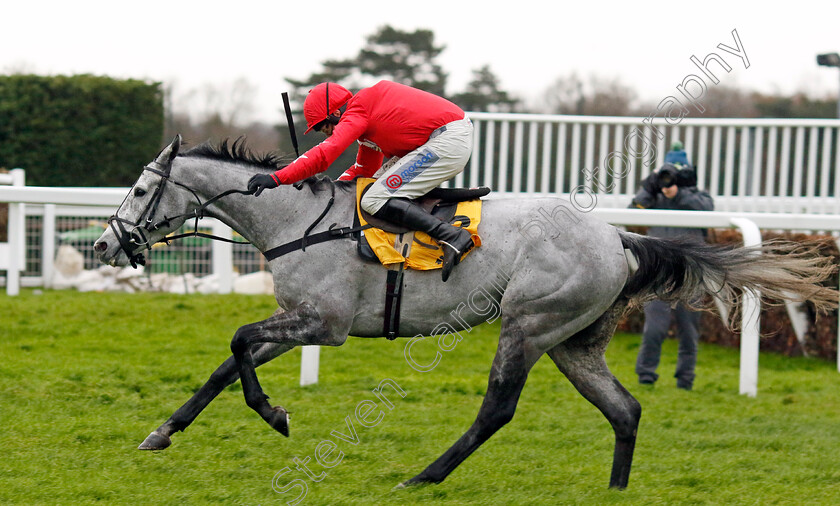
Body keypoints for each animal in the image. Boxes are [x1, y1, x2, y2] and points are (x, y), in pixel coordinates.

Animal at [93, 136, 840, 488]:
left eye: (140, 189)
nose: (104, 243)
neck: (296, 221)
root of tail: (620, 239)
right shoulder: (299, 319)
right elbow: (227, 362)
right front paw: (162, 432)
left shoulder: (324, 325)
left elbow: (238, 339)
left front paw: (275, 414)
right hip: (574, 342)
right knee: (625, 409)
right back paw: (616, 488)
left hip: (528, 324)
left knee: (498, 409)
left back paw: (424, 475)